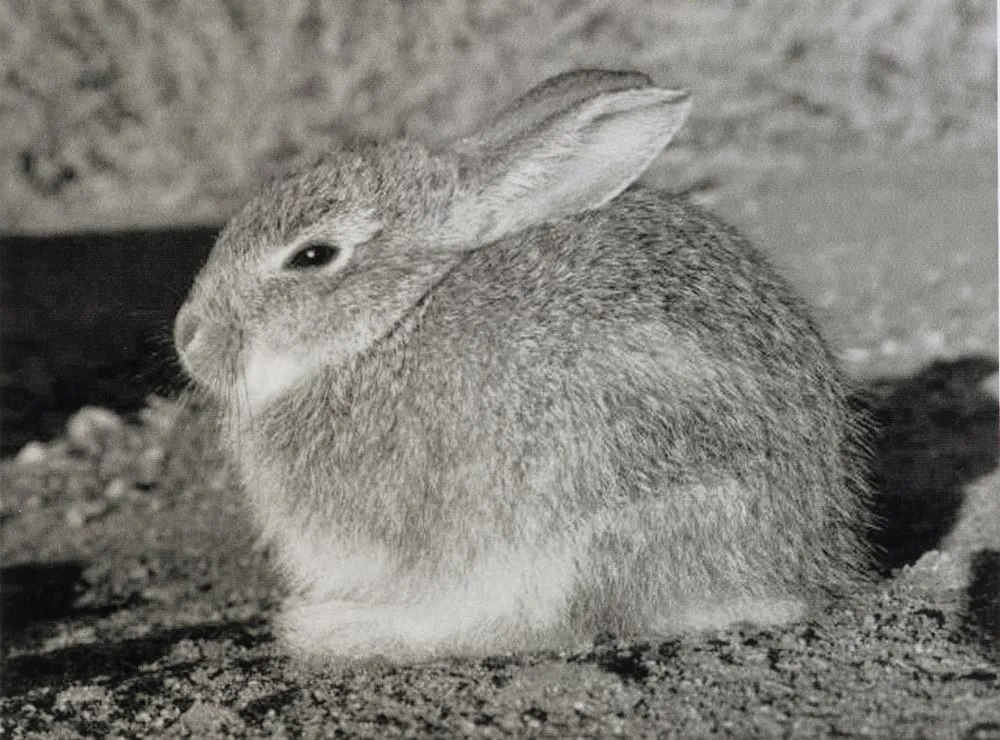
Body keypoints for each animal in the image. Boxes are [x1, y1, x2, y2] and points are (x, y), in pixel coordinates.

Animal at [174, 69, 874, 662]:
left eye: (312, 255)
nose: (188, 336)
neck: (391, 324)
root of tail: (802, 561)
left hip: (583, 517)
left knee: (545, 623)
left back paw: (331, 630)